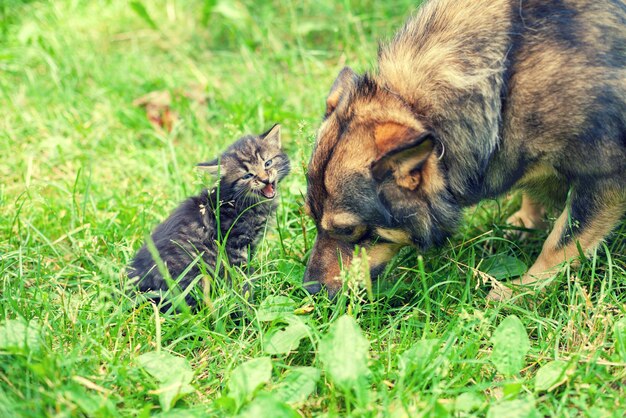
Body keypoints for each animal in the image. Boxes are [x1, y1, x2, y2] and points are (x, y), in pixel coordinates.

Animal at [130, 124, 292, 306]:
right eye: (247, 175)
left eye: (267, 163)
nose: (265, 179)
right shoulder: (234, 245)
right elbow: (241, 276)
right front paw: (247, 300)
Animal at [304, 0, 624, 300]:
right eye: (310, 216)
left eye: (348, 231)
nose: (309, 291)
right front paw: (526, 221)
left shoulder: (605, 178)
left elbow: (559, 243)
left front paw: (521, 291)